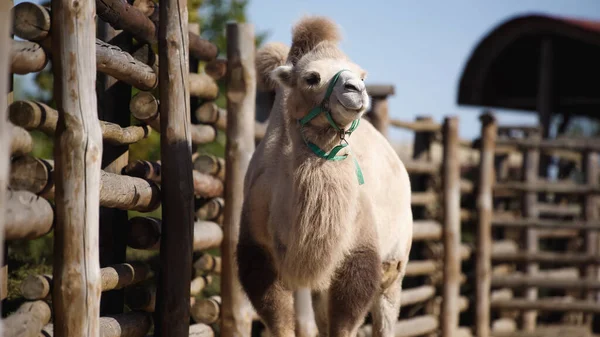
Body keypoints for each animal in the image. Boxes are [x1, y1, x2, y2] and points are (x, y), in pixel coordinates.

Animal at [237, 16, 414, 337]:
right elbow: (278, 318)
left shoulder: (359, 249)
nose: (356, 90)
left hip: (395, 264)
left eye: (362, 75)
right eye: (311, 77)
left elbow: (346, 321)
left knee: (386, 310)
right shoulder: (258, 249)